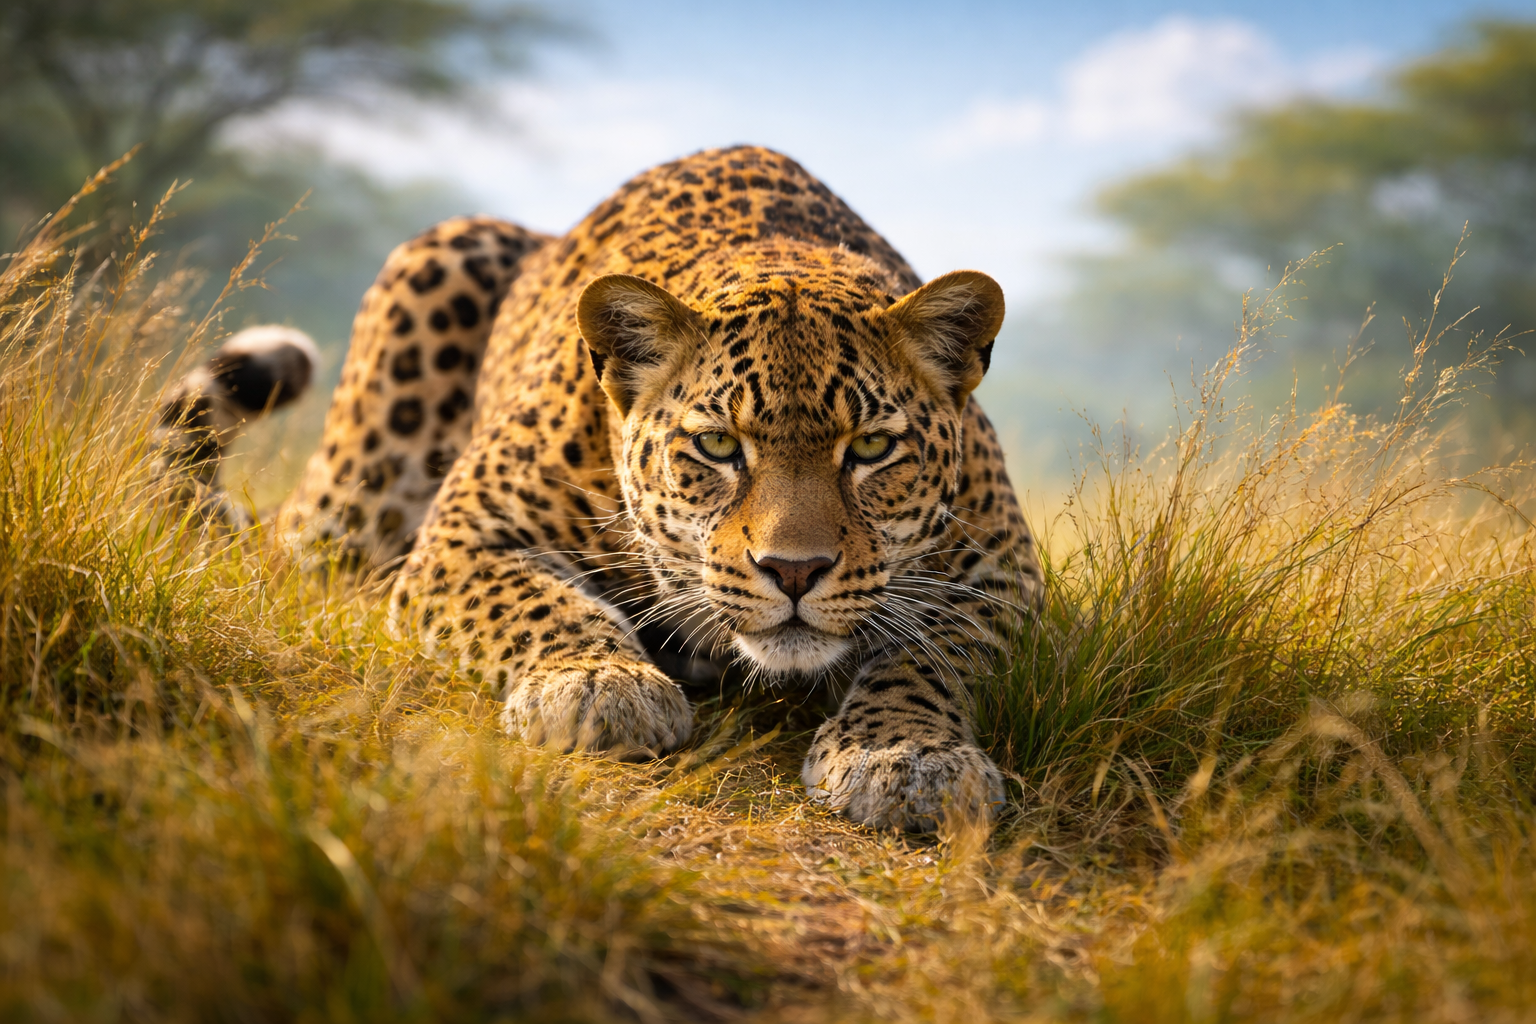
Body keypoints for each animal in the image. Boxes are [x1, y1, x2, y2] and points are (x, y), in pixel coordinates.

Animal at [167, 145, 1044, 832]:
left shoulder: (1001, 570)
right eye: (717, 445)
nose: (793, 572)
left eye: (870, 448)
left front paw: (908, 754)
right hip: (365, 467)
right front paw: (598, 684)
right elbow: (534, 601)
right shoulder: (467, 534)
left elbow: (931, 656)